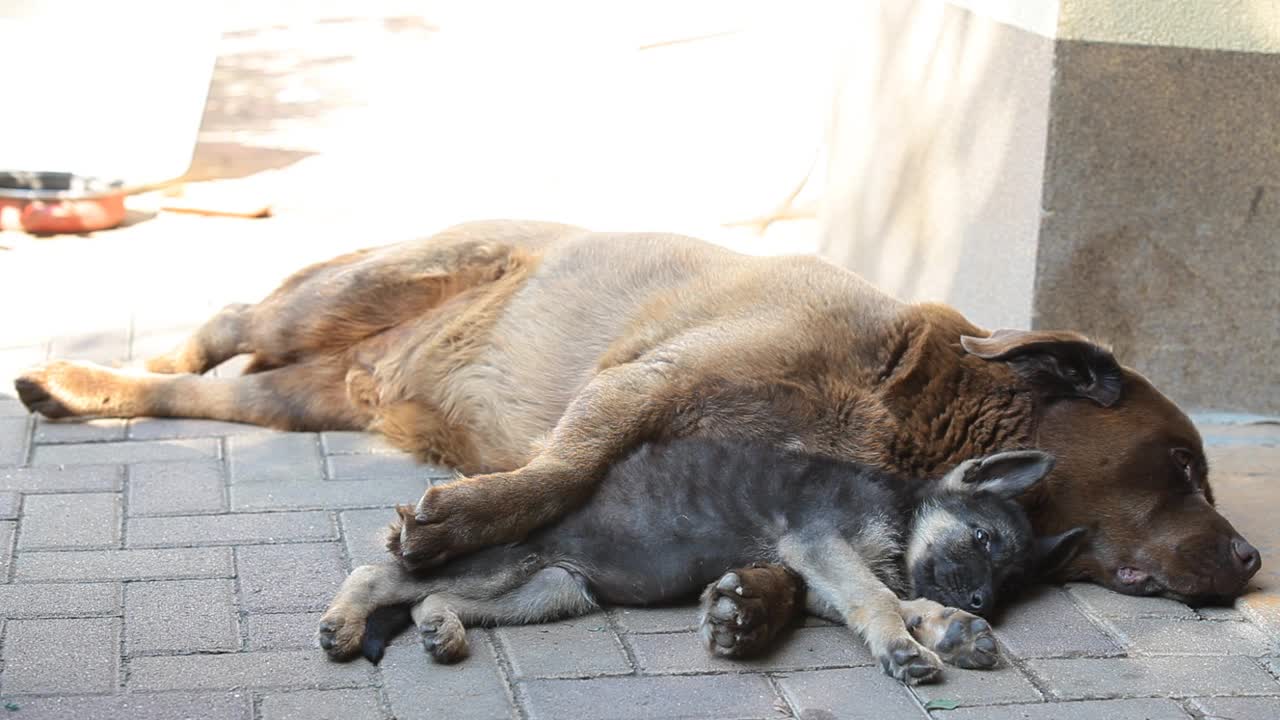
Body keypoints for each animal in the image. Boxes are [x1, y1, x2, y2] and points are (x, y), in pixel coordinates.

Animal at [15, 215, 1259, 620]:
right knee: (231, 320)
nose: (1250, 561)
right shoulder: (638, 383)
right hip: (355, 290)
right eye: (1180, 469)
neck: (904, 408)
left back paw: (86, 387)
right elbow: (565, 467)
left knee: (204, 391)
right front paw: (454, 521)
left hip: (302, 392)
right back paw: (120, 359)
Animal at [322, 438, 1080, 681]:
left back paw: (441, 630)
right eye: (982, 540)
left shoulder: (816, 571)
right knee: (380, 572)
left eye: (1011, 582)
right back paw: (343, 624)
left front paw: (948, 627)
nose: (985, 605)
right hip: (503, 560)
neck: (896, 509)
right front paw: (908, 645)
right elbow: (880, 597)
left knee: (427, 596)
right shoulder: (819, 544)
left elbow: (896, 596)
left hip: (553, 586)